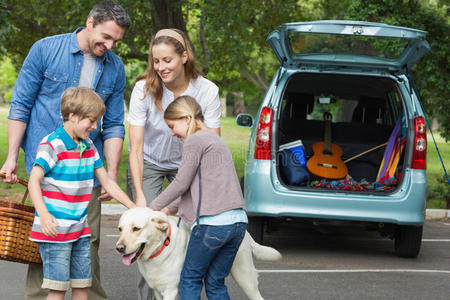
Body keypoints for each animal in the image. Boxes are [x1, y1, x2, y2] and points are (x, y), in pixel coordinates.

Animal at [116, 207, 282, 298]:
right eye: (120, 229)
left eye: (136, 228)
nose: (119, 248)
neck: (160, 248)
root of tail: (245, 232)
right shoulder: (158, 290)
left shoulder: (170, 290)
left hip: (245, 277)